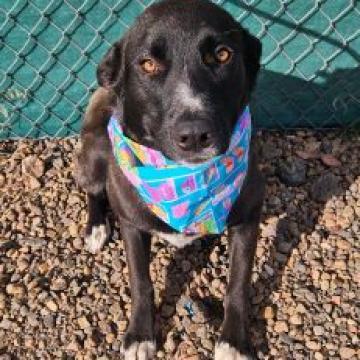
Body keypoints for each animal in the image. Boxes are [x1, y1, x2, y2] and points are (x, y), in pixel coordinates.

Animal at [75, 1, 264, 358]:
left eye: (222, 55)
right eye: (148, 64)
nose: (194, 135)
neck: (184, 178)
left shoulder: (248, 218)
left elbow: (238, 282)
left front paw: (234, 340)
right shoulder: (131, 224)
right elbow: (140, 282)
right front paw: (139, 335)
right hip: (94, 153)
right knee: (93, 190)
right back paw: (95, 227)